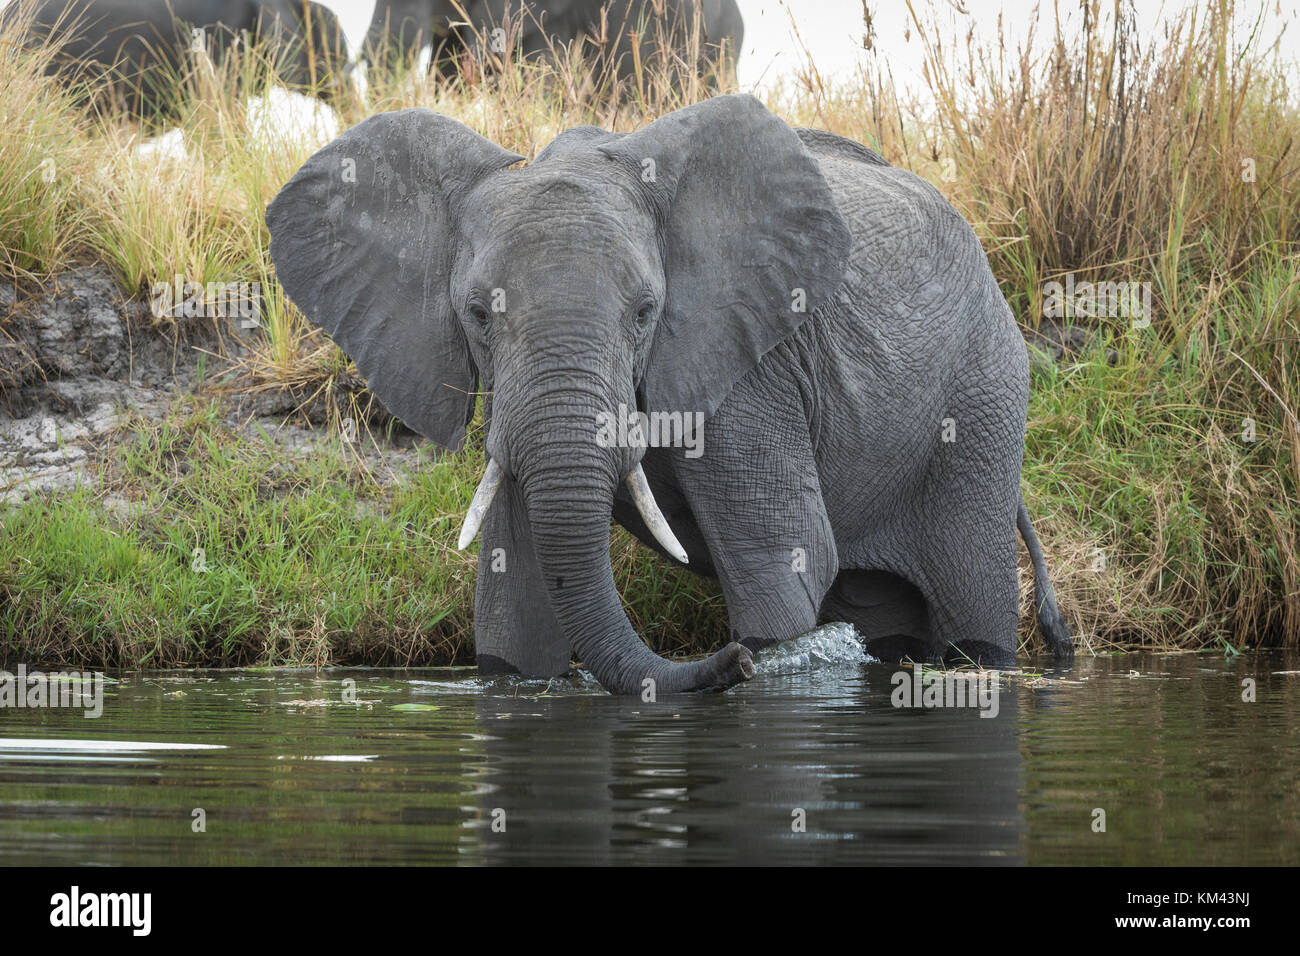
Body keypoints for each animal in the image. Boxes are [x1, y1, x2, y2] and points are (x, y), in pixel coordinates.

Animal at [266, 91, 1076, 697]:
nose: (733, 663)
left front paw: (763, 657)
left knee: (971, 604)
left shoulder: (753, 369)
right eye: (476, 313)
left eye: (646, 311)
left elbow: (785, 557)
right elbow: (515, 592)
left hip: (982, 399)